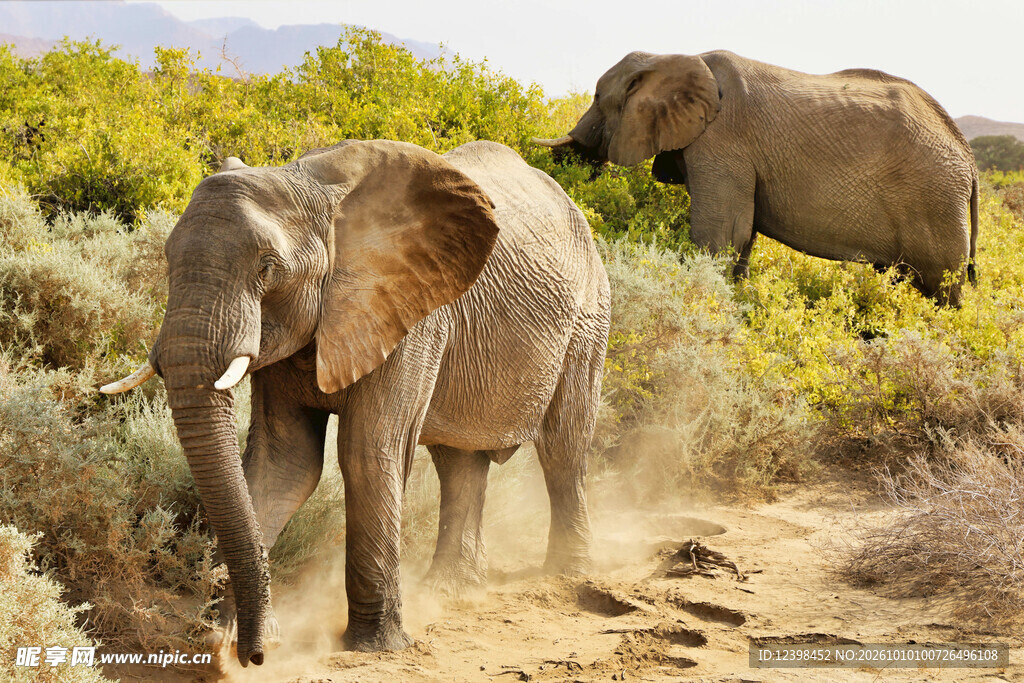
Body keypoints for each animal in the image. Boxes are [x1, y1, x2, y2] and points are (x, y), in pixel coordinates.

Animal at [100, 139, 611, 666]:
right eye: (167, 259)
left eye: (267, 267)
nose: (257, 655)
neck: (311, 188)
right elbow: (283, 463)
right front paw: (221, 644)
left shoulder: (411, 315)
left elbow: (367, 452)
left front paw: (373, 646)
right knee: (458, 461)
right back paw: (452, 592)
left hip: (589, 316)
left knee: (563, 446)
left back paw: (566, 574)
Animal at [535, 50, 979, 305]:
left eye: (597, 98)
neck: (673, 56)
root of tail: (970, 161)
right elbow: (741, 233)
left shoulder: (723, 142)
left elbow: (719, 232)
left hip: (934, 203)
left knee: (942, 289)